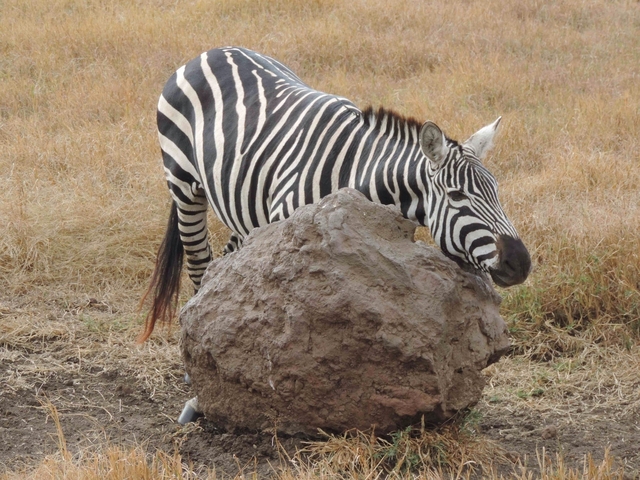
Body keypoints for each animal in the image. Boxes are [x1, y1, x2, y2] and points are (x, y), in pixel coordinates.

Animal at [140, 46, 531, 343]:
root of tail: (212, 52)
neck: (354, 170)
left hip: (246, 207)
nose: (521, 263)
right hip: (183, 185)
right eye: (457, 195)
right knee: (199, 263)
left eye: (496, 191)